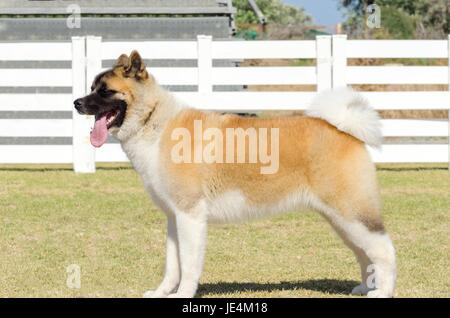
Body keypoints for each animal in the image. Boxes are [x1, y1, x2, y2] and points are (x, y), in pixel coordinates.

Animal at [74, 51, 398, 298]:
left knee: (384, 250)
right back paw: (365, 288)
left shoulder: (190, 216)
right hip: (341, 220)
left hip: (352, 213)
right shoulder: (174, 217)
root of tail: (344, 128)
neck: (154, 121)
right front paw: (162, 293)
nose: (76, 103)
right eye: (91, 87)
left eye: (105, 91)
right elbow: (172, 264)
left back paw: (382, 292)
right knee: (364, 253)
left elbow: (188, 264)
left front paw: (183, 294)